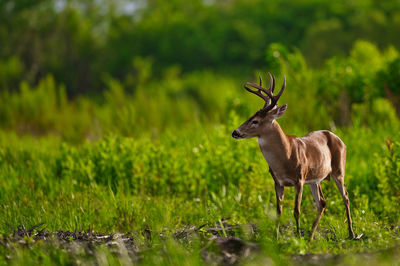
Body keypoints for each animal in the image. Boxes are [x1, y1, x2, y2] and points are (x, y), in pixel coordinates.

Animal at [231, 72, 356, 239]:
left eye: (255, 121)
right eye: (250, 116)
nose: (235, 132)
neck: (285, 157)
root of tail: (339, 138)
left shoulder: (299, 179)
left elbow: (297, 211)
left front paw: (297, 236)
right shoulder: (277, 182)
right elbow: (278, 211)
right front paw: (276, 237)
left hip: (338, 171)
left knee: (346, 197)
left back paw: (351, 233)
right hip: (315, 180)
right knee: (322, 202)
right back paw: (311, 236)